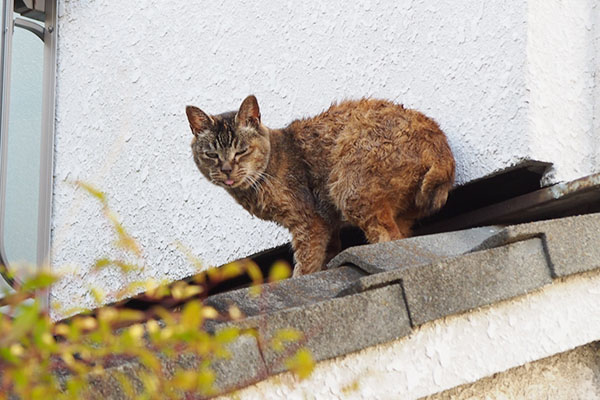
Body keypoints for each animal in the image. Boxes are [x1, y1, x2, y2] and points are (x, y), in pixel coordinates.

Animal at [186, 95, 454, 276]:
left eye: (241, 151)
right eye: (212, 155)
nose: (226, 169)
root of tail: (439, 143)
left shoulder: (309, 222)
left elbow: (306, 263)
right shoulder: (327, 222)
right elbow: (328, 250)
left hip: (349, 189)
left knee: (388, 236)